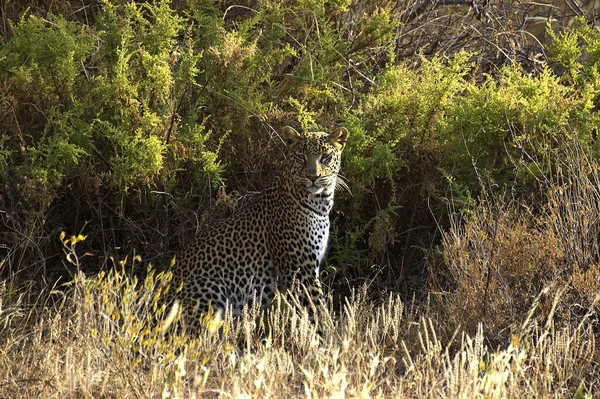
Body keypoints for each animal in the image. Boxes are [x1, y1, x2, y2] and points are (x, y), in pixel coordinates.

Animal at [166, 126, 350, 332]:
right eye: (301, 156)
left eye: (325, 157)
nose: (312, 177)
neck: (319, 202)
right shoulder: (301, 271)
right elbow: (316, 310)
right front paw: (329, 334)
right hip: (210, 287)